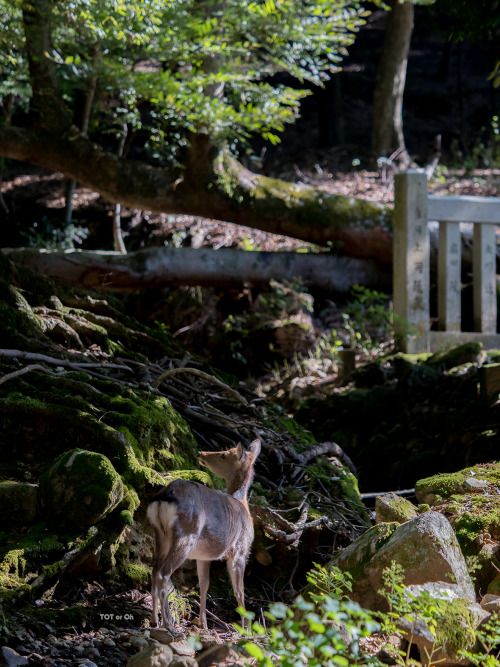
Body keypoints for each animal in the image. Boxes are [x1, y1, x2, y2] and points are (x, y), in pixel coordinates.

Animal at [146, 438, 260, 636]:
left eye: (224, 455)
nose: (201, 453)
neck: (242, 502)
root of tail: (165, 497)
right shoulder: (240, 551)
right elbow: (239, 591)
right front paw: (246, 631)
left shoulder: (204, 556)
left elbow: (204, 584)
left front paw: (203, 624)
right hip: (187, 534)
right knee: (163, 573)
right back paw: (169, 625)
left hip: (160, 534)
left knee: (154, 571)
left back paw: (154, 621)